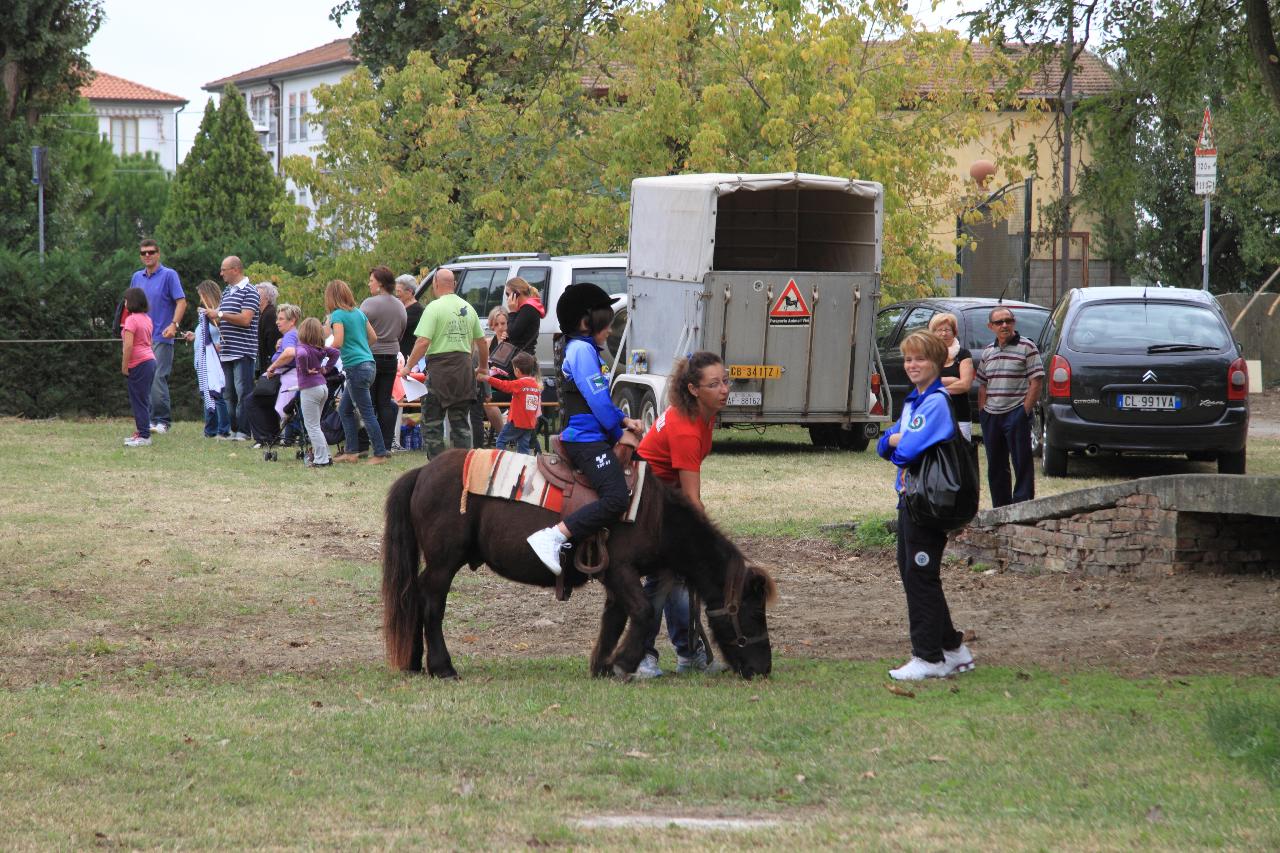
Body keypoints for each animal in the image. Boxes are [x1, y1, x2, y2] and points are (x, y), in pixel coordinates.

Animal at [381, 445, 778, 676]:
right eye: (752, 612)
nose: (763, 668)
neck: (654, 514)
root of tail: (422, 473)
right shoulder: (620, 570)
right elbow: (643, 613)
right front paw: (622, 664)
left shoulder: (616, 578)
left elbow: (615, 618)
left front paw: (602, 666)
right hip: (444, 563)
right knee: (431, 605)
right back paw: (442, 666)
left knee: (414, 598)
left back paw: (414, 662)